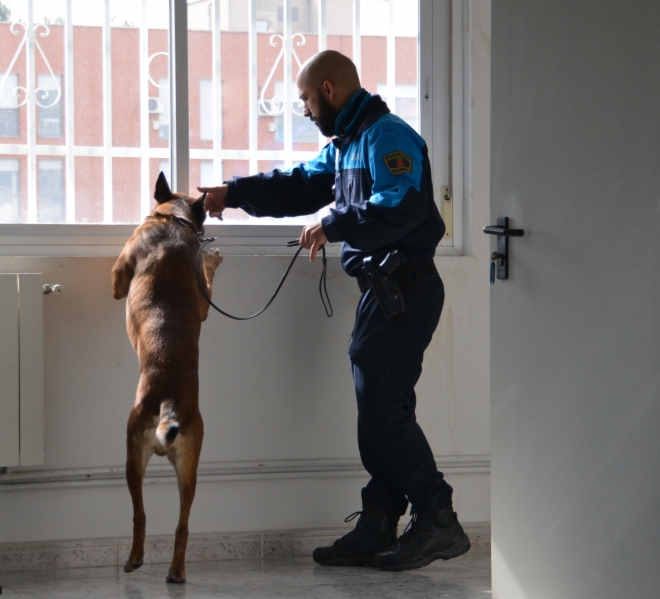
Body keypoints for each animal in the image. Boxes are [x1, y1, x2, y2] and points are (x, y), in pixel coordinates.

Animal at [109, 171, 220, 584]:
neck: (173, 221)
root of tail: (169, 403)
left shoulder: (120, 276)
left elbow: (116, 285)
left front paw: (214, 257)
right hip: (186, 469)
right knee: (177, 523)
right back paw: (169, 569)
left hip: (132, 455)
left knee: (144, 515)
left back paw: (143, 562)